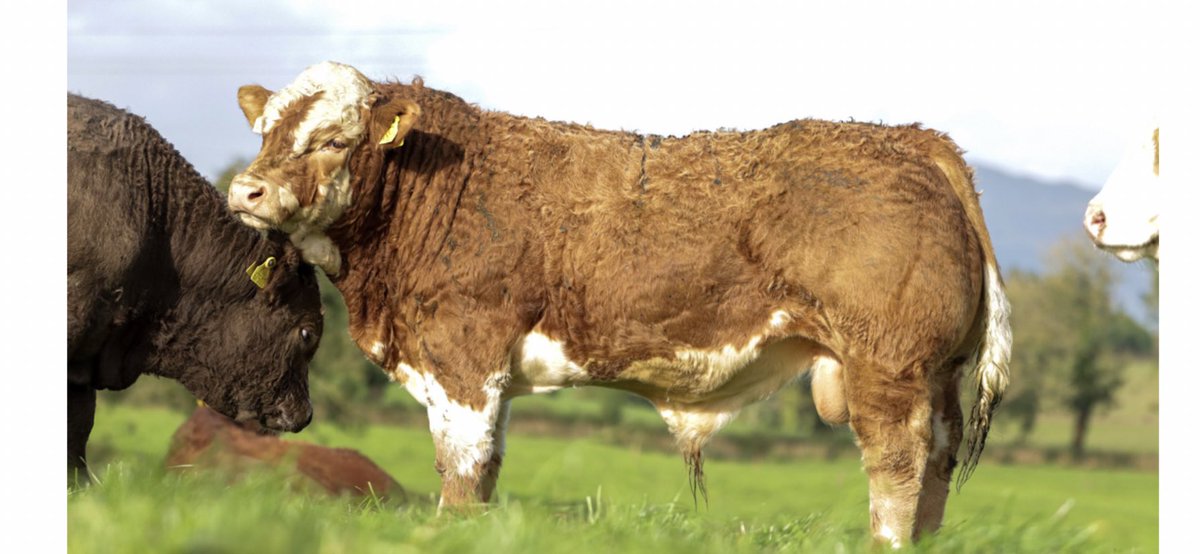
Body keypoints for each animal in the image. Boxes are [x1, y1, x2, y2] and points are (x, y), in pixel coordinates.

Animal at [226, 62, 1011, 547]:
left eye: (334, 140)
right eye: (265, 133)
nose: (246, 189)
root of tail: (910, 139)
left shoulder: (463, 360)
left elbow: (461, 475)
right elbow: (485, 476)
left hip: (887, 365)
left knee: (898, 469)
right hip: (936, 373)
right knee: (937, 467)